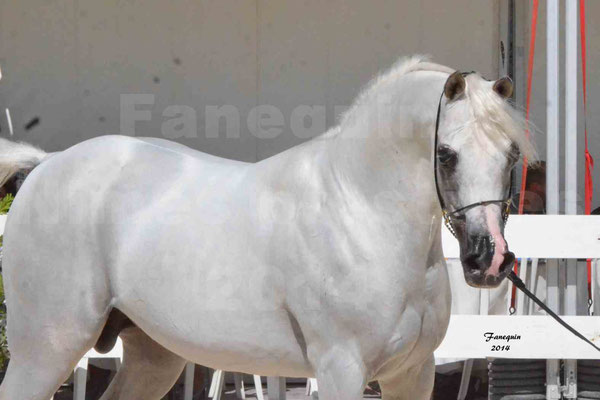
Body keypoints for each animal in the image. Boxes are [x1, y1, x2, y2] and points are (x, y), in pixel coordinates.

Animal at [0, 57, 536, 400]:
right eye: (446, 154)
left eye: (511, 154)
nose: (489, 259)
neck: (361, 214)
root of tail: (46, 166)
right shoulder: (341, 370)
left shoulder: (414, 374)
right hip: (44, 350)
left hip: (153, 357)